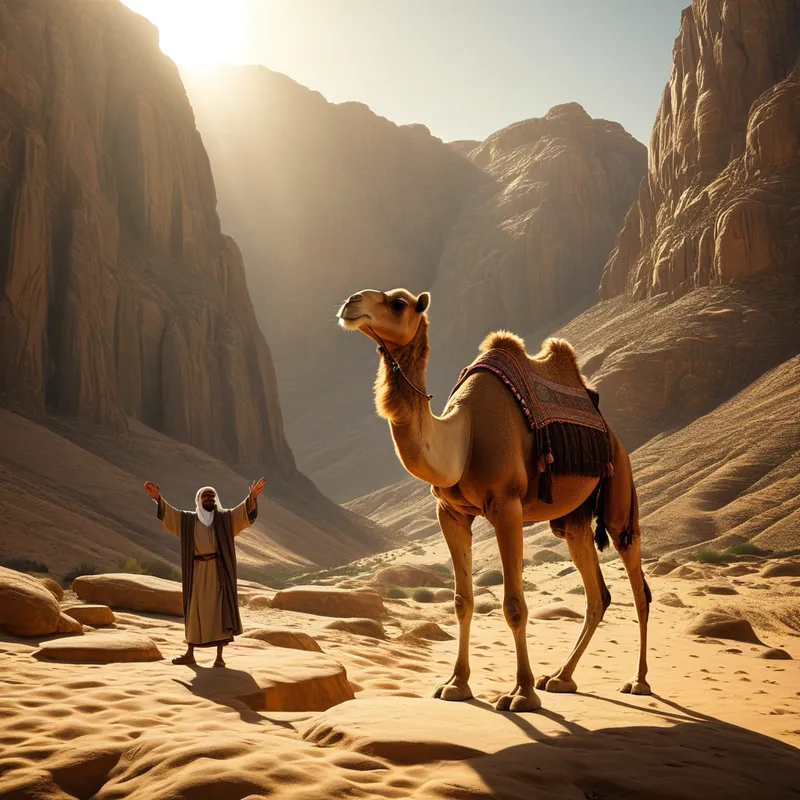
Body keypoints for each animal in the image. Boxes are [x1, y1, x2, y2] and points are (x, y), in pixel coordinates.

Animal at [337, 288, 651, 712]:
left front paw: (521, 693)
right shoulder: (451, 512)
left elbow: (514, 604)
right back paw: (561, 678)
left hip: (619, 493)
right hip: (573, 519)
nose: (351, 302)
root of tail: (613, 436)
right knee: (596, 593)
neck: (464, 437)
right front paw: (456, 684)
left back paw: (638, 681)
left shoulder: (507, 505)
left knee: (638, 586)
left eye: (398, 303)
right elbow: (462, 600)